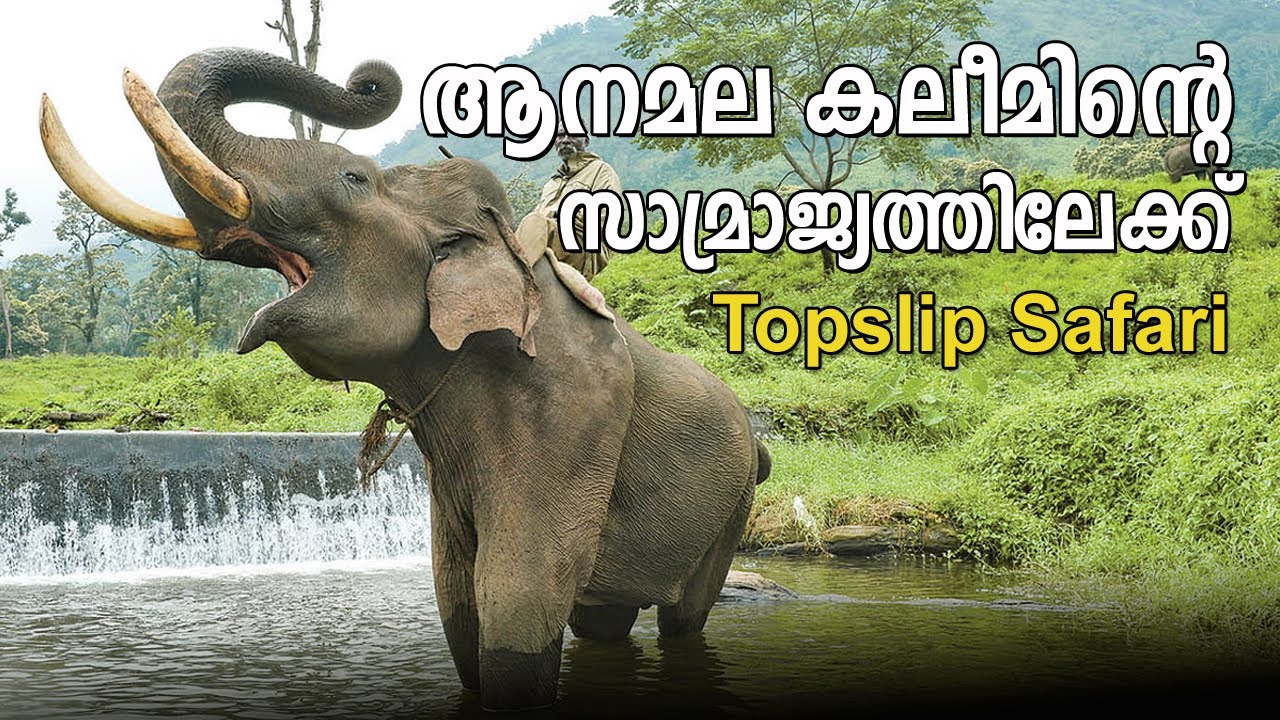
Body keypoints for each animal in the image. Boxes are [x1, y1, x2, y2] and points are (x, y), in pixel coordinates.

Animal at [39, 48, 771, 712]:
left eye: (353, 177)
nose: (369, 79)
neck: (503, 247)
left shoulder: (572, 414)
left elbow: (515, 599)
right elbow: (457, 602)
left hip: (731, 510)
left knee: (683, 619)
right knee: (603, 622)